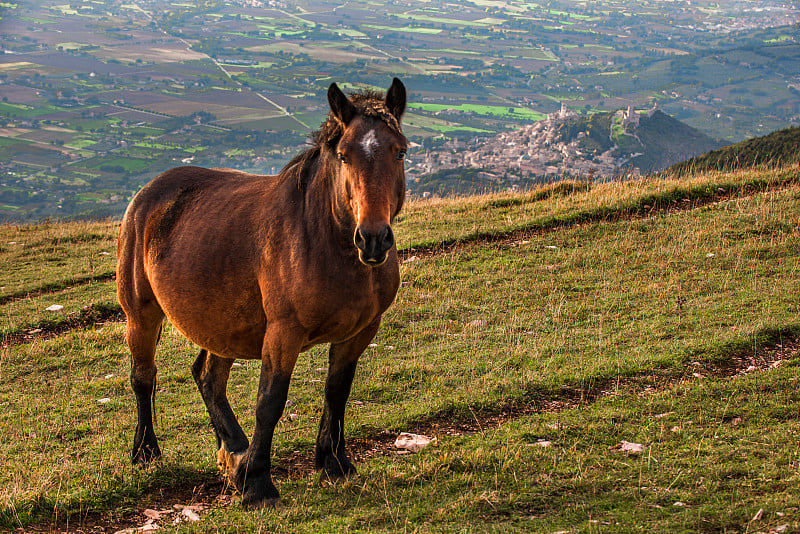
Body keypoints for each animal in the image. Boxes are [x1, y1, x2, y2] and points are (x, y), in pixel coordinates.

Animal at [114, 79, 406, 510]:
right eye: (344, 155)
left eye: (399, 151)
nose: (372, 238)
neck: (325, 241)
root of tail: (147, 194)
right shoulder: (284, 333)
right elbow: (270, 401)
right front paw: (258, 485)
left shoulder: (361, 331)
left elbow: (337, 391)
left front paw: (334, 463)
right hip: (141, 314)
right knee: (143, 378)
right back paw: (147, 452)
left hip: (222, 323)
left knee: (208, 377)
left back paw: (235, 451)